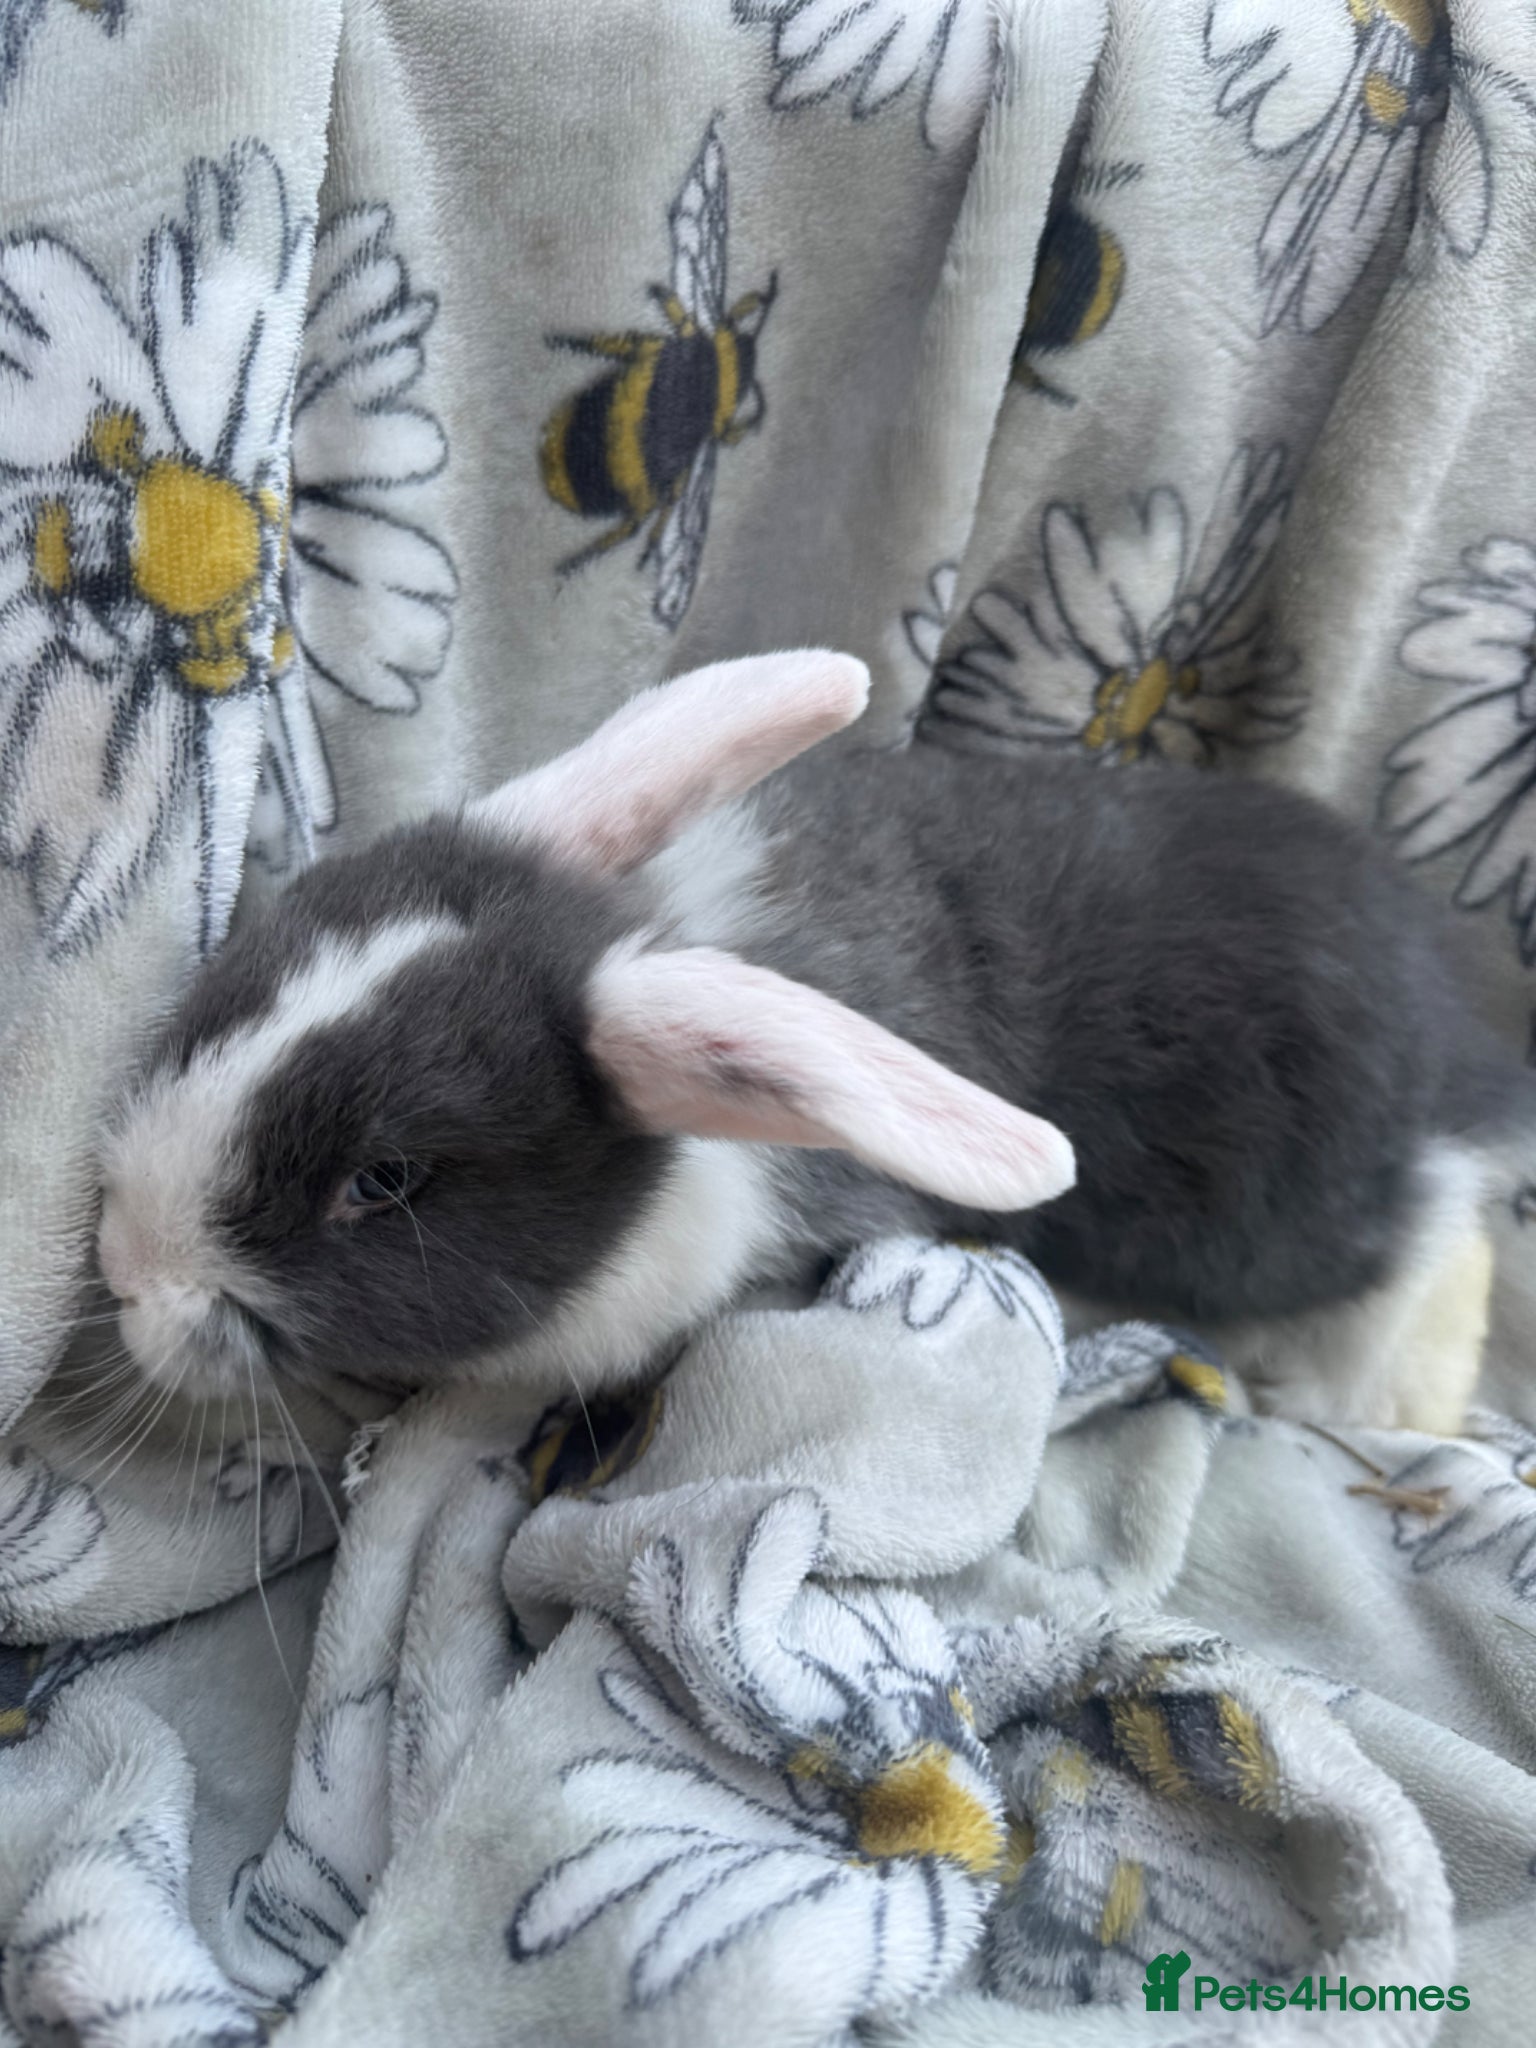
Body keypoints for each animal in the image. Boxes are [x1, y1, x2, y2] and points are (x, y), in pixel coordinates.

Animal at [96, 648, 1534, 1433]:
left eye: (383, 1182)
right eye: (241, 979)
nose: (121, 1267)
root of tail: (1470, 1027)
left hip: (1295, 1217)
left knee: (1435, 1238)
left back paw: (1373, 1403)